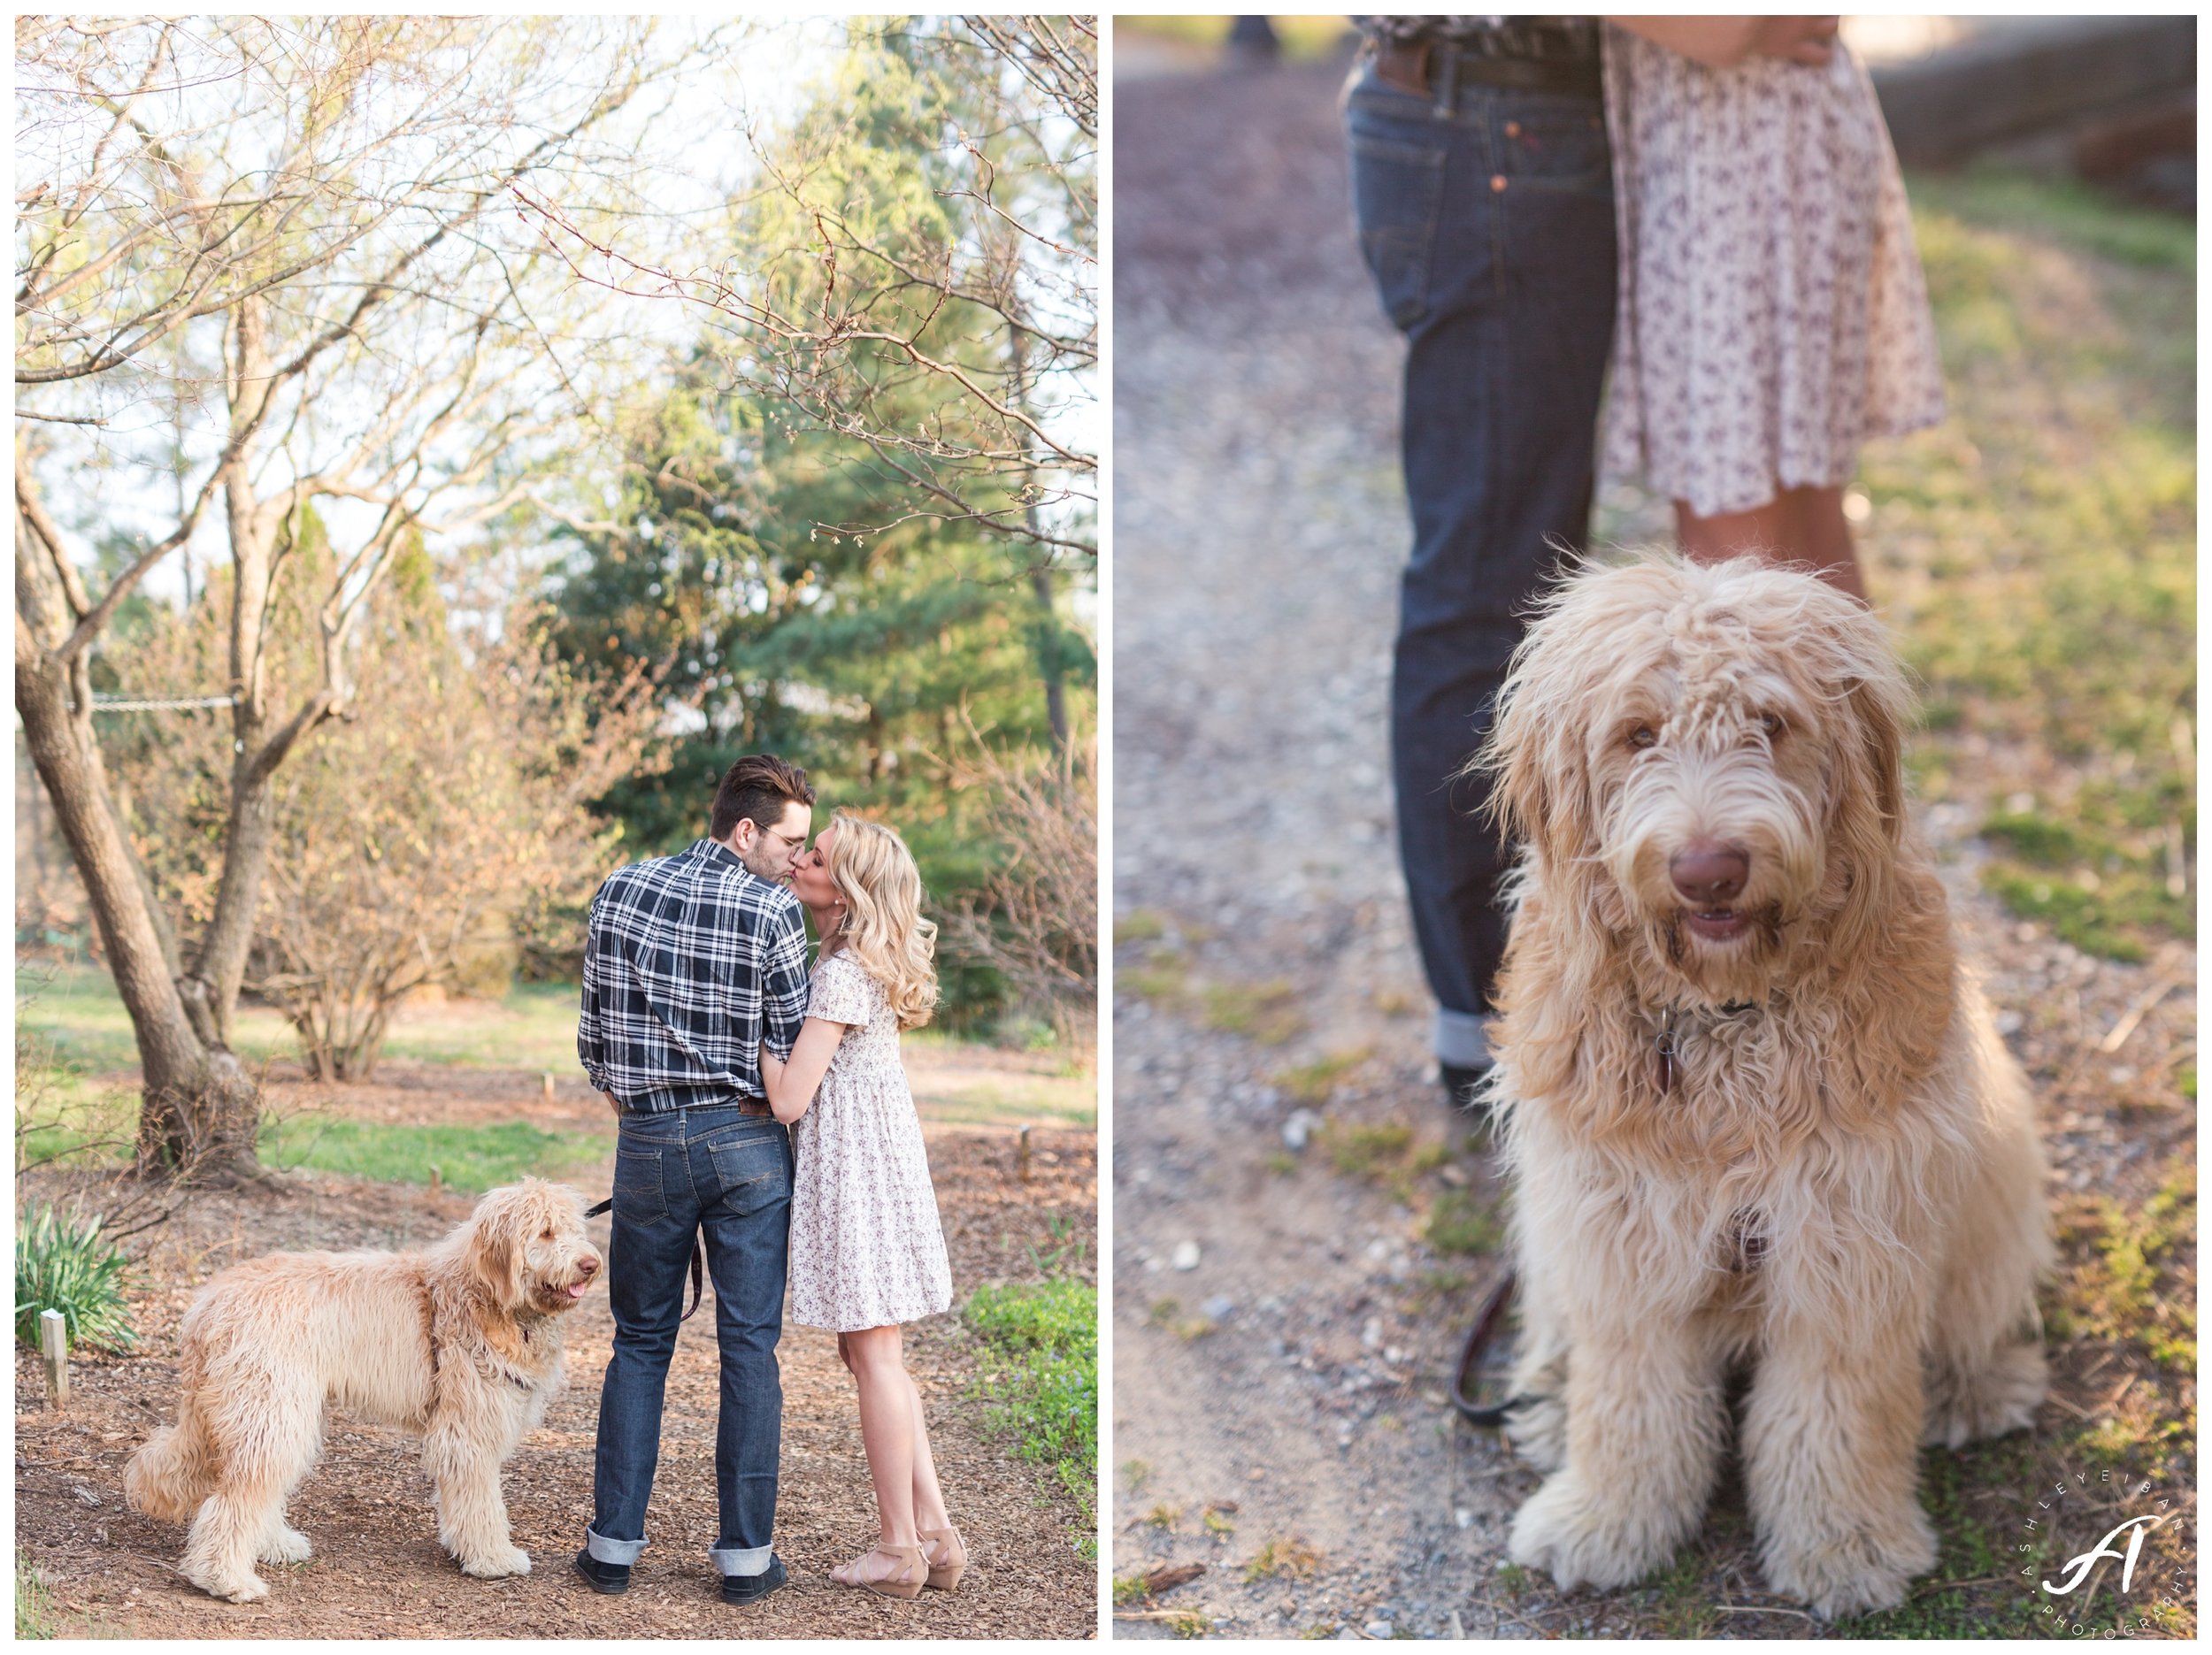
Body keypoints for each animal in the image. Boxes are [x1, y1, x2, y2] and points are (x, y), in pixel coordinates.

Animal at [120, 1176, 606, 1601]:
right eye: (545, 1232)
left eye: (575, 1229)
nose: (591, 1264)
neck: (485, 1293)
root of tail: (207, 1305)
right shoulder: (469, 1430)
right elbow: (482, 1501)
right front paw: (494, 1558)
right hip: (272, 1407)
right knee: (238, 1497)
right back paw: (226, 1579)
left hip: (270, 1410)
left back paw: (274, 1545)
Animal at [1478, 555, 2044, 1619]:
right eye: (1637, 733)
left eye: (1771, 724)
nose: (1708, 869)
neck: (1725, 1018)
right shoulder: (1620, 1225)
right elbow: (1630, 1394)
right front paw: (1605, 1519)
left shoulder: (1849, 1233)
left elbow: (1836, 1407)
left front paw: (1845, 1545)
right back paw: (1548, 1399)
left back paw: (1972, 1388)